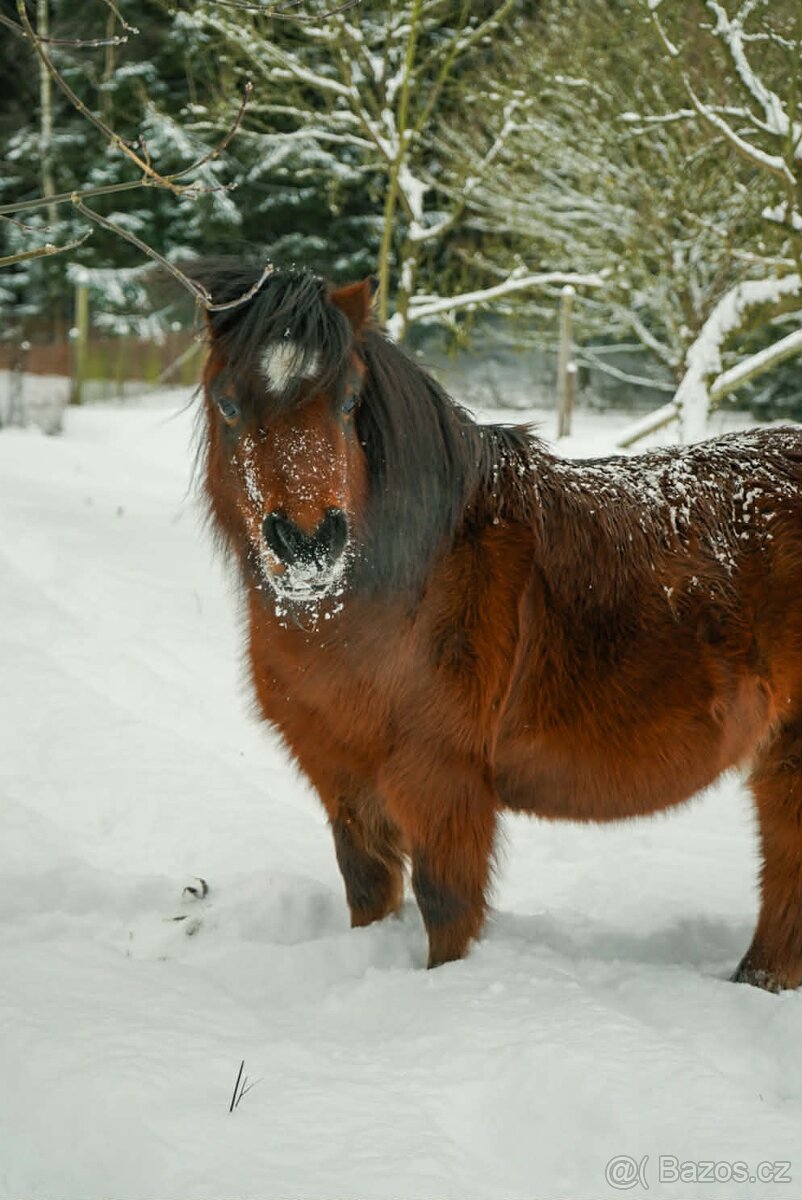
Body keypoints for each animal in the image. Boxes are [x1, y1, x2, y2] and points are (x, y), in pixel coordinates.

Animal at [197, 262, 802, 991]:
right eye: (228, 405)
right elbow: (367, 893)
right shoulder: (345, 781)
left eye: (347, 401)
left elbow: (447, 910)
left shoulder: (443, 782)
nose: (310, 545)